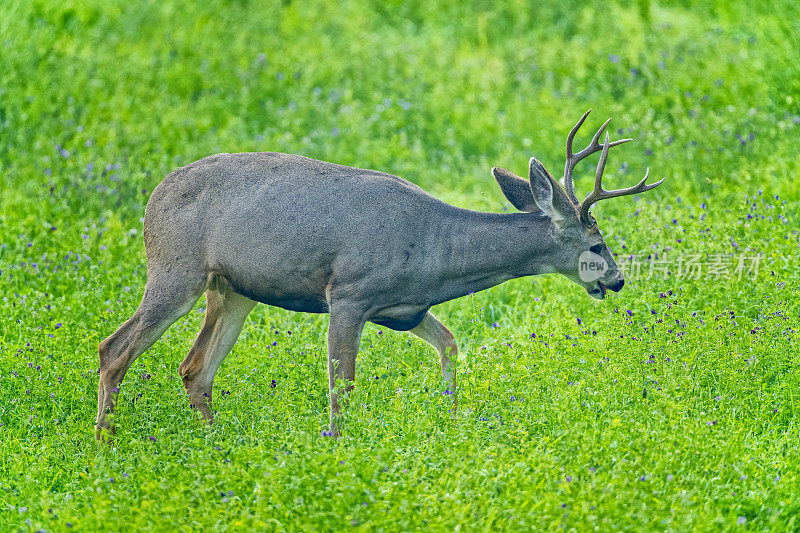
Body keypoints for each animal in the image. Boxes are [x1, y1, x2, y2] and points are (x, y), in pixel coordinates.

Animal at [95, 110, 664, 438]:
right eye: (596, 244)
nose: (616, 279)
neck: (436, 250)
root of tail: (152, 199)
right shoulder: (348, 293)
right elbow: (342, 385)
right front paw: (339, 445)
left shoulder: (406, 310)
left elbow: (450, 343)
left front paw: (452, 418)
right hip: (176, 269)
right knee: (114, 347)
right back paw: (105, 443)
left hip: (233, 291)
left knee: (196, 369)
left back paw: (213, 444)